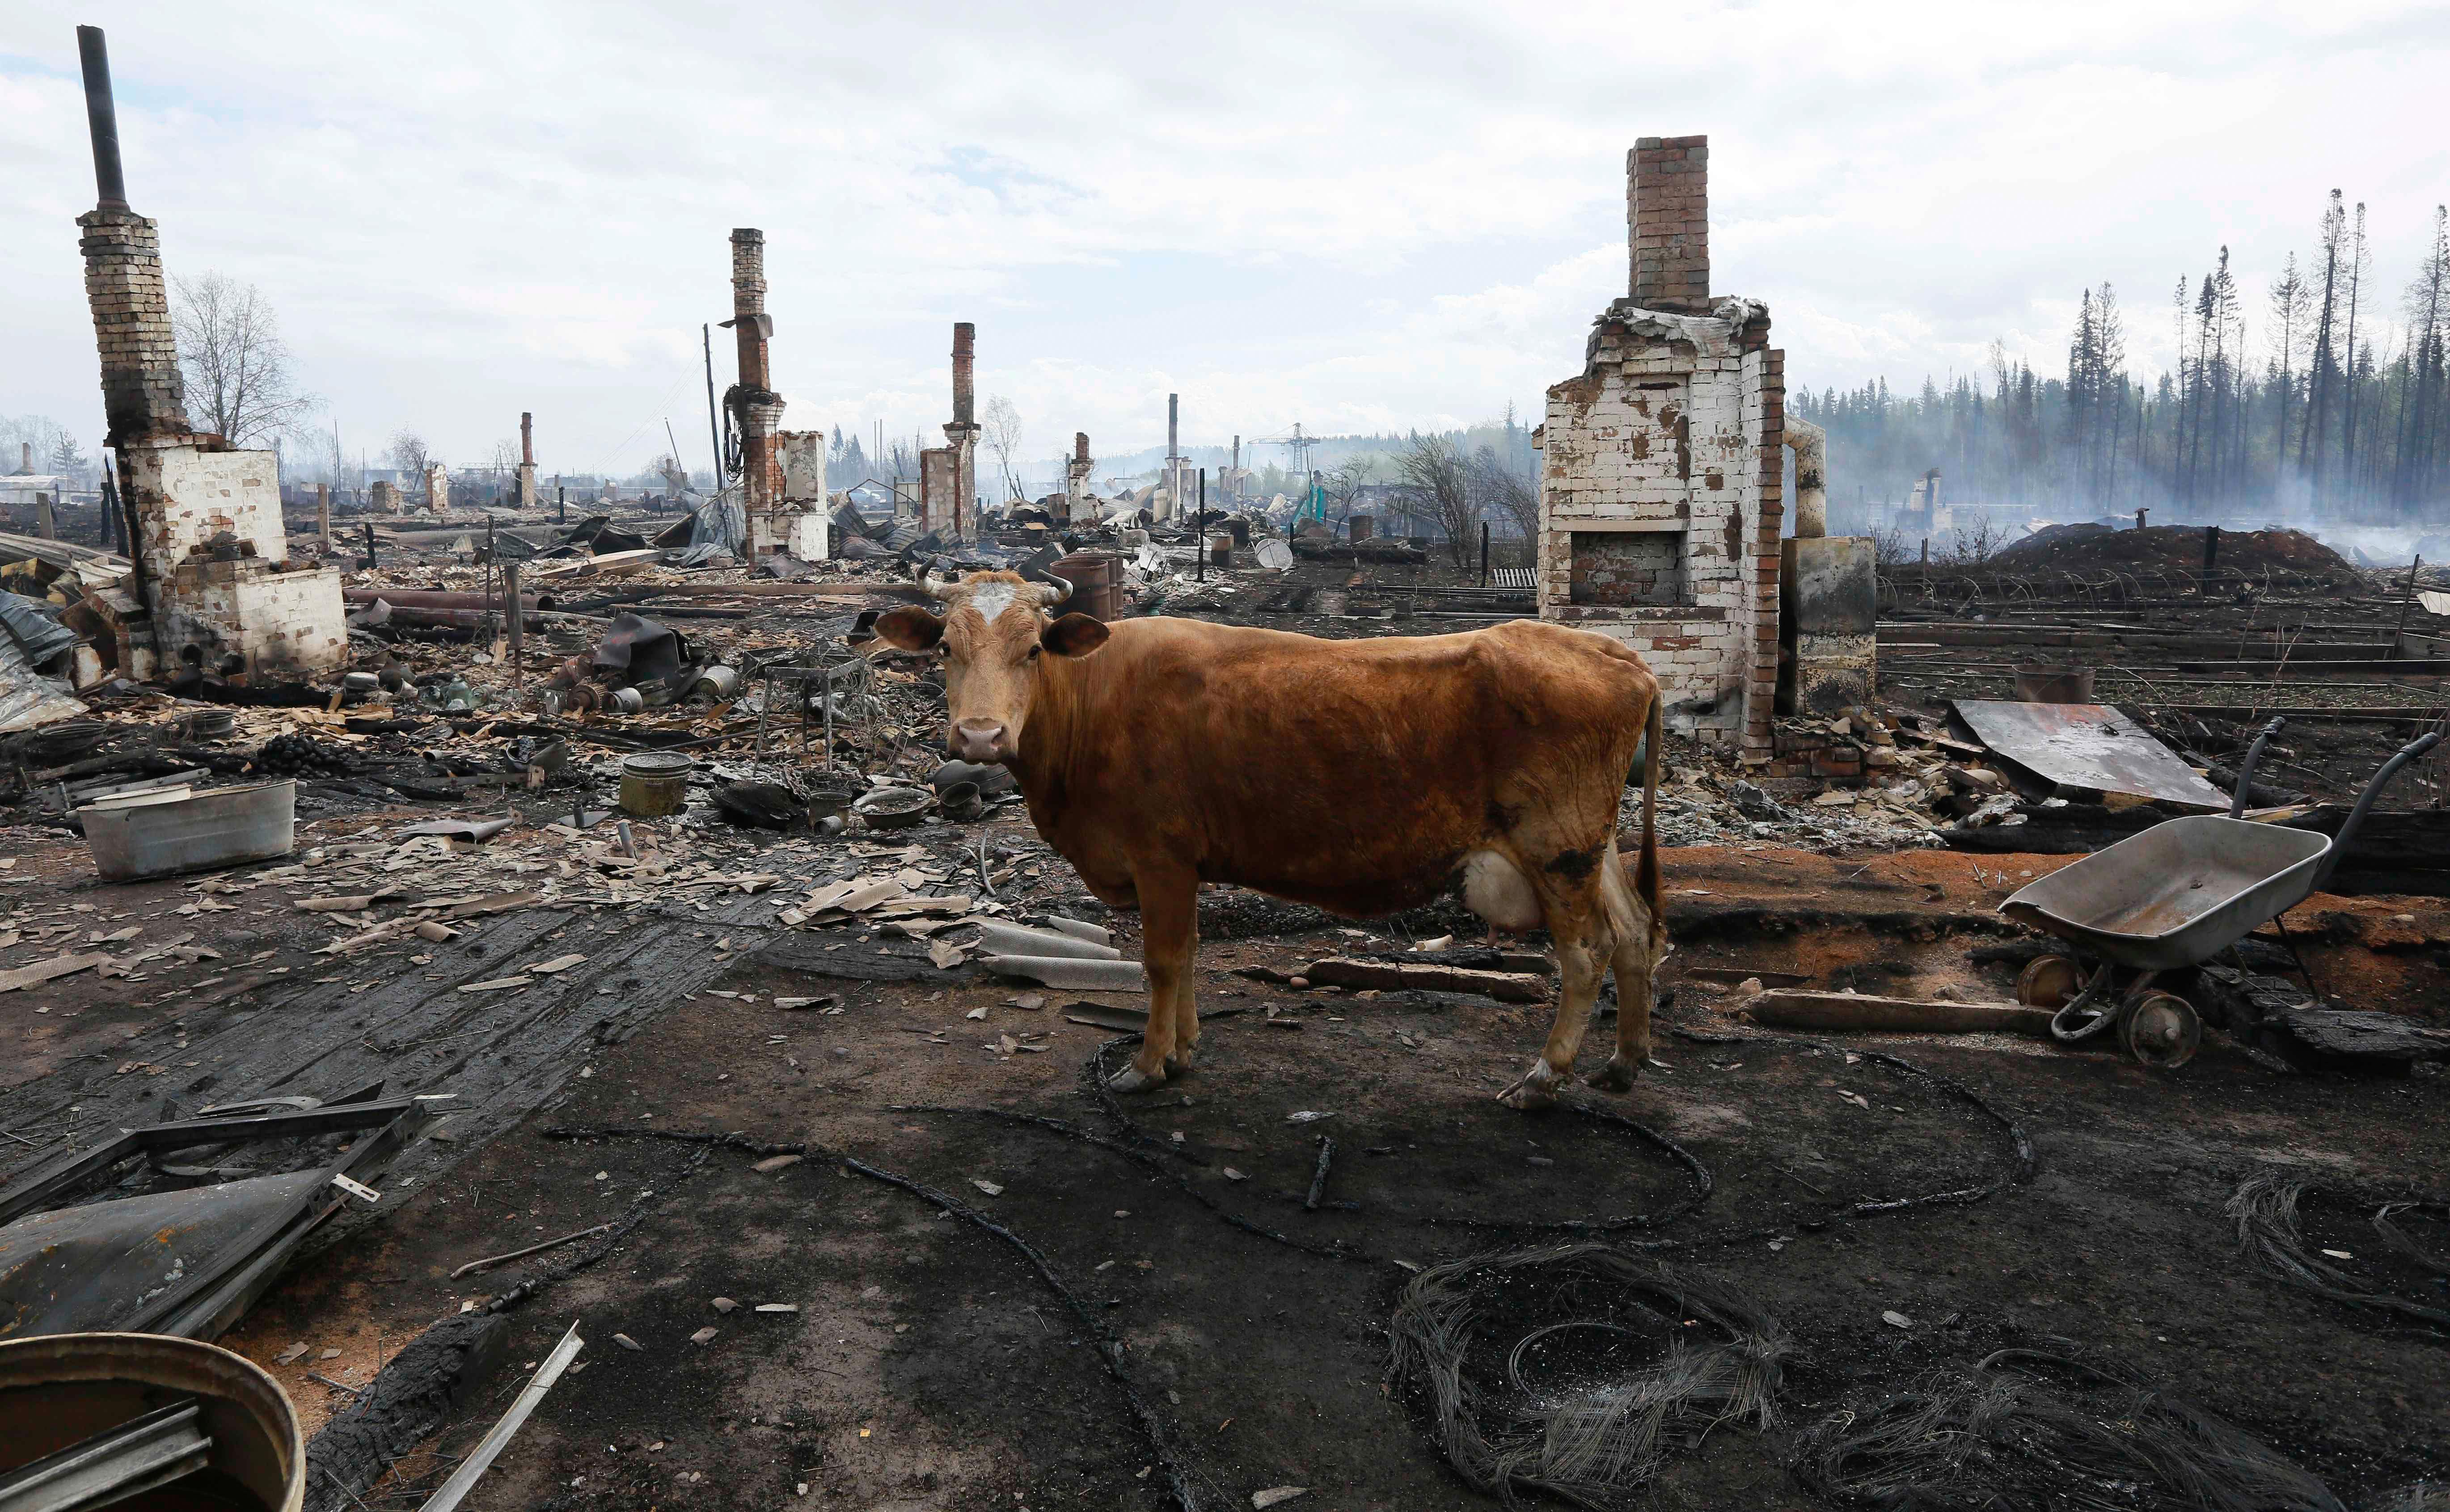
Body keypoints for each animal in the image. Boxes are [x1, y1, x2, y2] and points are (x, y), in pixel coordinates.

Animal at [877, 566, 1666, 1108]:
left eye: (1034, 650)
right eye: (944, 647)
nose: (980, 736)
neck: (1092, 700)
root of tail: (1616, 653)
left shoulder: (1158, 855)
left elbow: (1162, 960)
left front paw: (1148, 1063)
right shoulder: (1183, 863)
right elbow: (1191, 954)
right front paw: (1184, 1048)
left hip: (1557, 844)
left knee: (1587, 952)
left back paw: (1543, 1076)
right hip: (1593, 843)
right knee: (1635, 932)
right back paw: (1623, 1061)